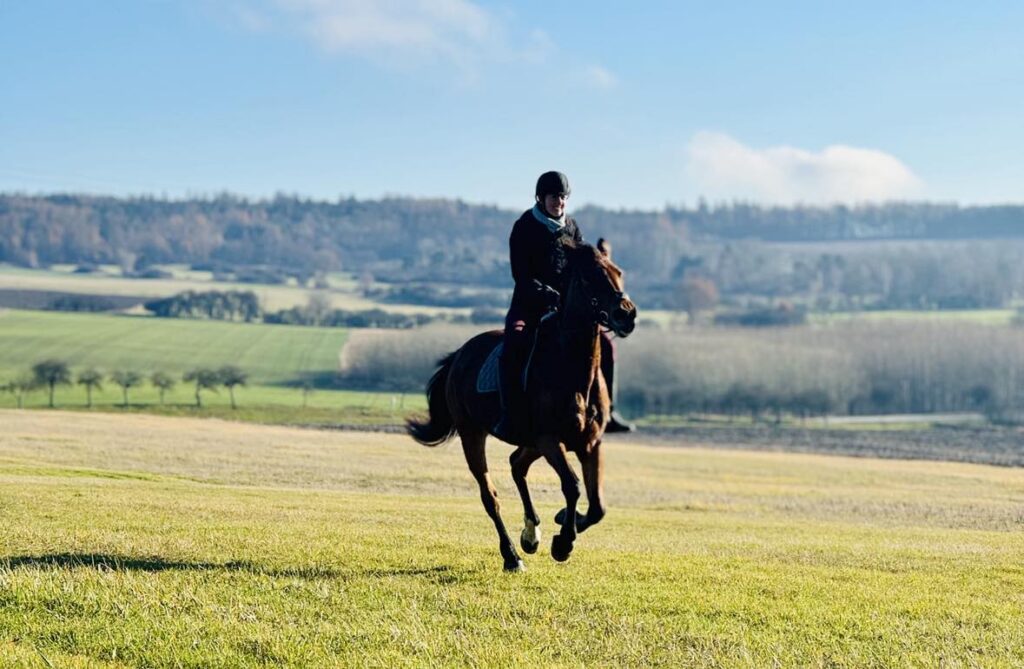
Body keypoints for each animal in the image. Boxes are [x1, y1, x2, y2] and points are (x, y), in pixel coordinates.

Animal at [405, 237, 630, 569]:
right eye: (590, 277)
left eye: (618, 272)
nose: (627, 314)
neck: (573, 370)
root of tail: (459, 355)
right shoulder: (550, 439)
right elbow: (573, 485)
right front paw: (563, 543)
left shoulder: (589, 443)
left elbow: (597, 506)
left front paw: (564, 521)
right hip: (473, 434)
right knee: (490, 496)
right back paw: (512, 556)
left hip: (532, 442)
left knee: (516, 464)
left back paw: (530, 534)